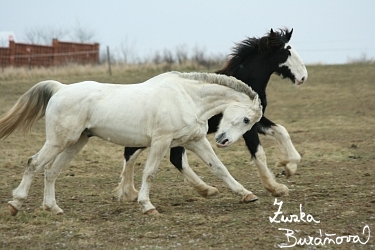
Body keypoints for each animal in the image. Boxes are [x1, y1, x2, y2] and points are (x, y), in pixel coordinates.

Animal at [0, 71, 262, 216]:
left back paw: (54, 209)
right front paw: (147, 206)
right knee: (34, 164)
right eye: (246, 119)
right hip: (59, 140)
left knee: (50, 171)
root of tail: (60, 89)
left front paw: (247, 195)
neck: (187, 97)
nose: (223, 140)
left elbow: (219, 168)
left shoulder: (195, 141)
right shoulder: (161, 140)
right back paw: (15, 204)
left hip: (75, 142)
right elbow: (150, 173)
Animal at [117, 28, 308, 202]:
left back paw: (205, 190)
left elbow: (281, 130)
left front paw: (289, 166)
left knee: (169, 158)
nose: (303, 77)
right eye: (287, 50)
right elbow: (259, 153)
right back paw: (131, 192)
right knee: (142, 153)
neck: (244, 80)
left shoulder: (256, 121)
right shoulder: (245, 125)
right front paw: (275, 187)